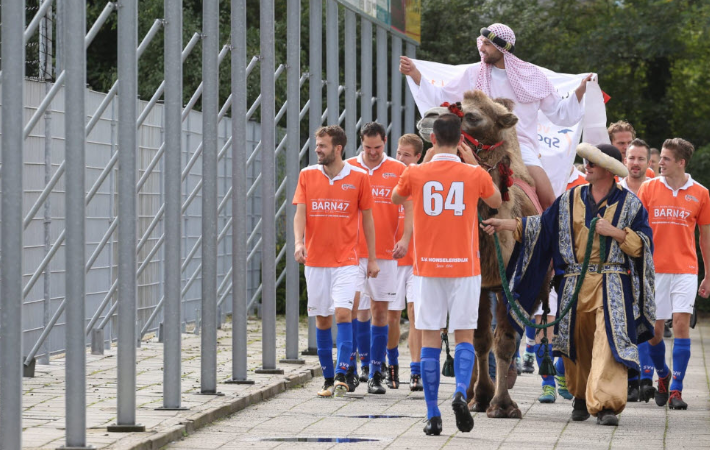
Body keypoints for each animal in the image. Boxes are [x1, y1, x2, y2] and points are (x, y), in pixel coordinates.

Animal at [418, 89, 552, 420]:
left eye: (473, 116)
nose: (429, 117)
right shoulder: (477, 283)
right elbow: (479, 339)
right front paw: (480, 398)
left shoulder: (516, 286)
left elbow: (504, 341)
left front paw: (502, 405)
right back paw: (469, 390)